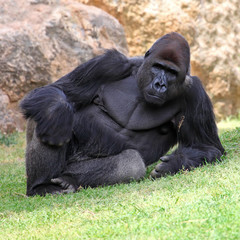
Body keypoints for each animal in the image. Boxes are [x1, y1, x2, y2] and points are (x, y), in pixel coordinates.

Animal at [20, 32, 225, 197]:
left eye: (172, 72)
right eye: (158, 67)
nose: (160, 84)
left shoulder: (194, 92)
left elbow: (208, 147)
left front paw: (175, 163)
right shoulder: (109, 64)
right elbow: (56, 90)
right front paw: (56, 116)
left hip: (69, 168)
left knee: (131, 163)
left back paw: (69, 180)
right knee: (46, 112)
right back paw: (41, 185)